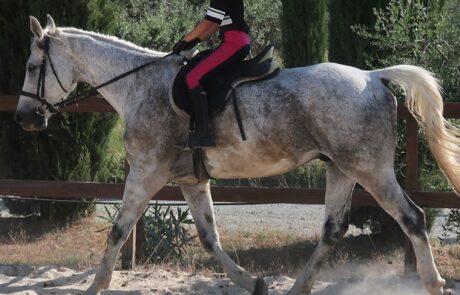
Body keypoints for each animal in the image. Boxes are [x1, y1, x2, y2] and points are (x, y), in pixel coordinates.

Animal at [15, 15, 460, 295]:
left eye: (33, 66)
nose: (24, 118)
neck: (139, 85)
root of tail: (372, 77)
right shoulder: (192, 180)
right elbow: (209, 237)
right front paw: (254, 282)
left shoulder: (144, 172)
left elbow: (118, 230)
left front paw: (95, 285)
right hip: (342, 169)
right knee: (333, 229)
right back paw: (297, 288)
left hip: (370, 170)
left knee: (411, 218)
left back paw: (433, 283)